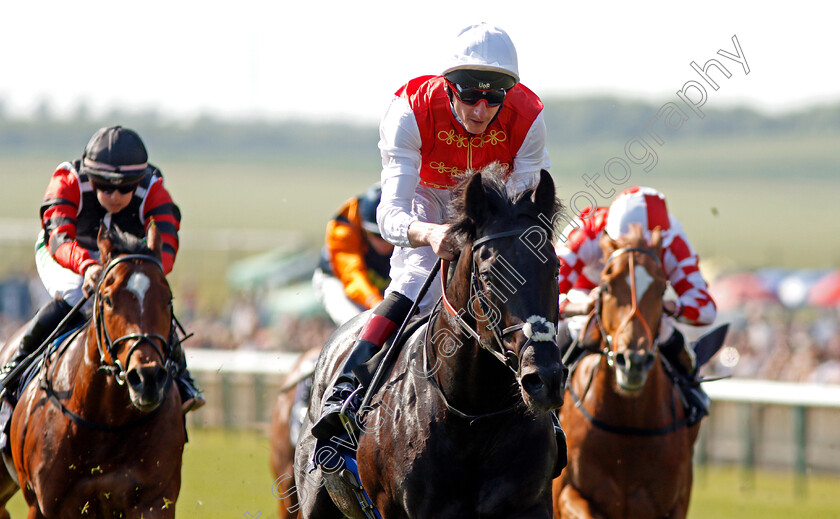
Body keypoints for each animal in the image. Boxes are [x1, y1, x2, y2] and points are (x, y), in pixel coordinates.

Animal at [0, 224, 185, 519]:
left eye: (168, 299)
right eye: (108, 299)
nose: (147, 379)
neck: (107, 424)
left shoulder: (154, 500)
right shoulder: (45, 505)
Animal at [552, 225, 704, 516]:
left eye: (661, 289)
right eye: (607, 286)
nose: (633, 361)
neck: (628, 425)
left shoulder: (674, 504)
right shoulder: (566, 493)